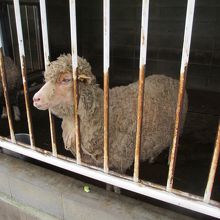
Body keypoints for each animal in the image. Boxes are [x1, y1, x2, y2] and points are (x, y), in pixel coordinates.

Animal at [32, 53, 187, 174]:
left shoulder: (119, 163)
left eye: (66, 80)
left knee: (173, 148)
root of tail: (172, 79)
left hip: (178, 129)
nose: (35, 99)